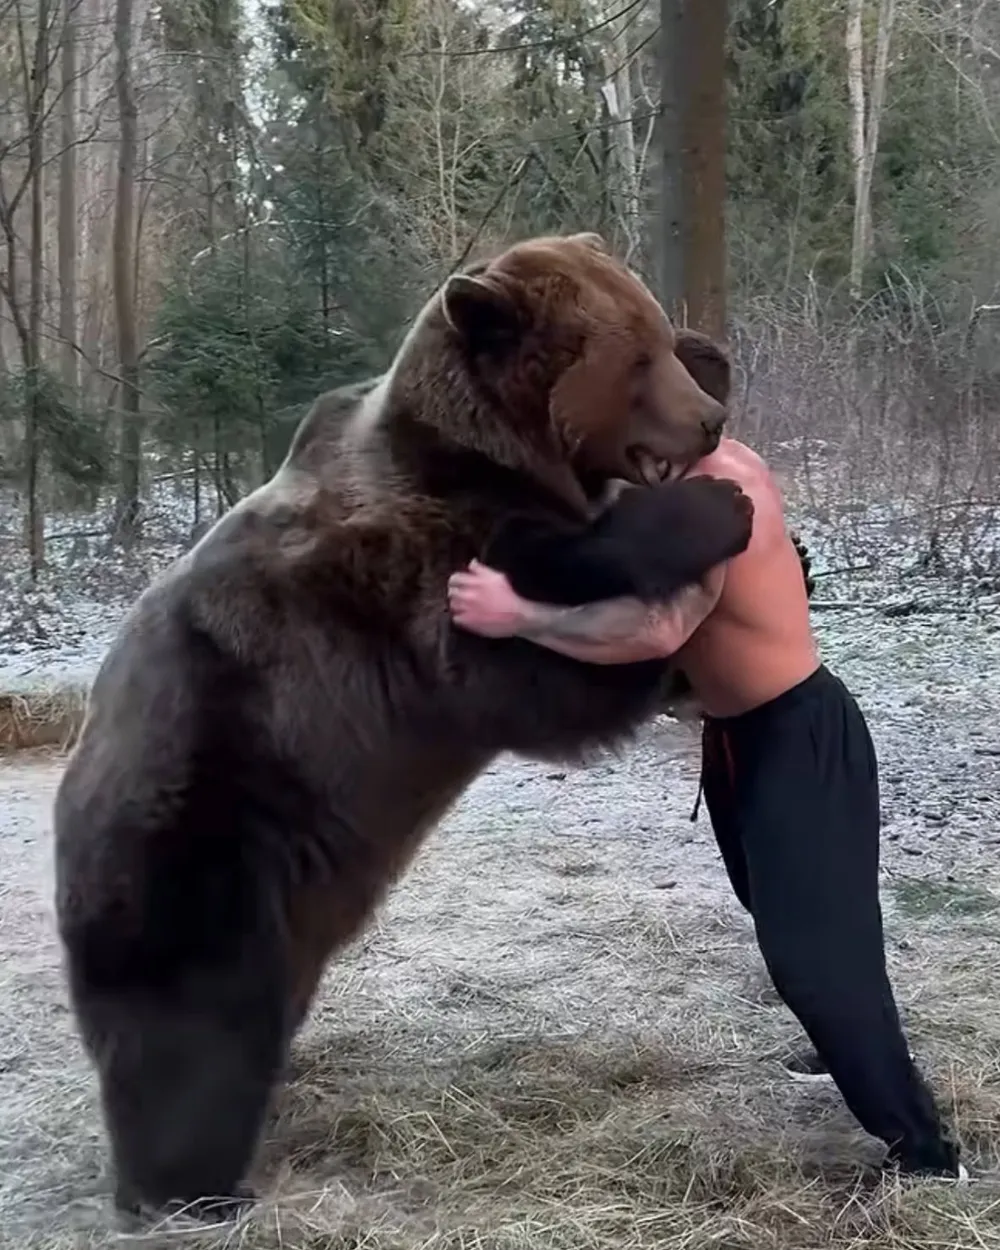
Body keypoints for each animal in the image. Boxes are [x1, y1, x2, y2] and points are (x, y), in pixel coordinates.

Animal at [52, 231, 754, 1225]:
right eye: (632, 365)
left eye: (654, 335)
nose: (707, 424)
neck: (498, 454)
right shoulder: (407, 588)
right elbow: (535, 661)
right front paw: (710, 535)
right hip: (199, 848)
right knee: (191, 1034)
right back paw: (189, 1187)